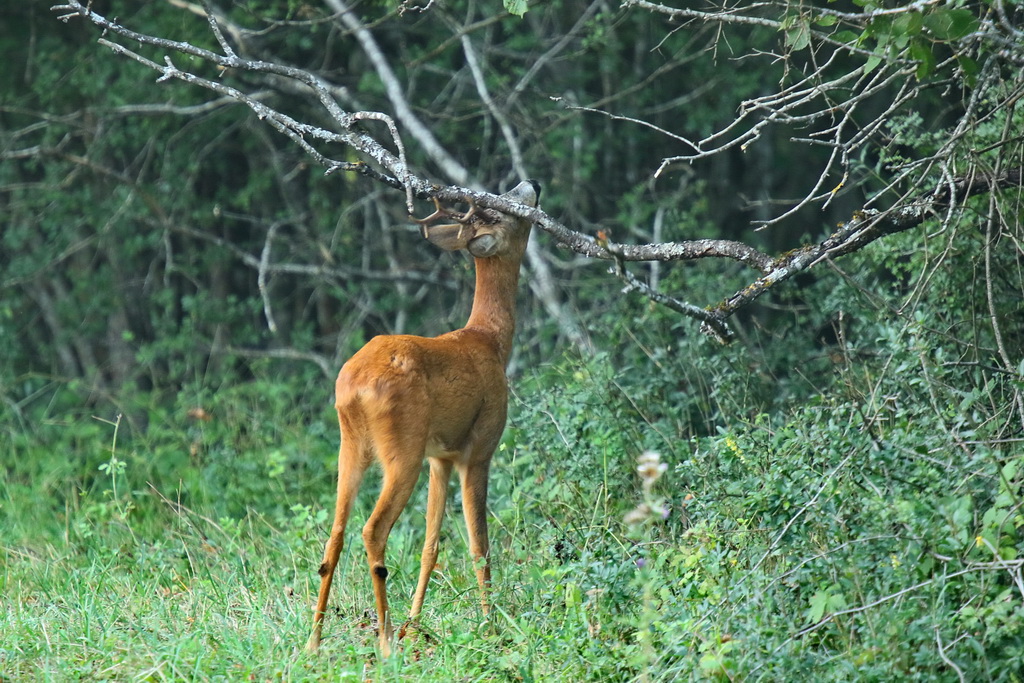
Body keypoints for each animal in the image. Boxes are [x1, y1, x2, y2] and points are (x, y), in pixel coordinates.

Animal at [305, 180, 540, 655]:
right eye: (506, 210)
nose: (534, 185)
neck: (489, 340)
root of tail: (354, 388)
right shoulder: (479, 447)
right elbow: (479, 545)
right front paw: (491, 627)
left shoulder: (440, 457)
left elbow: (431, 544)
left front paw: (416, 625)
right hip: (403, 447)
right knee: (373, 531)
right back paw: (384, 640)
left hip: (351, 446)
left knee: (335, 533)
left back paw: (314, 642)